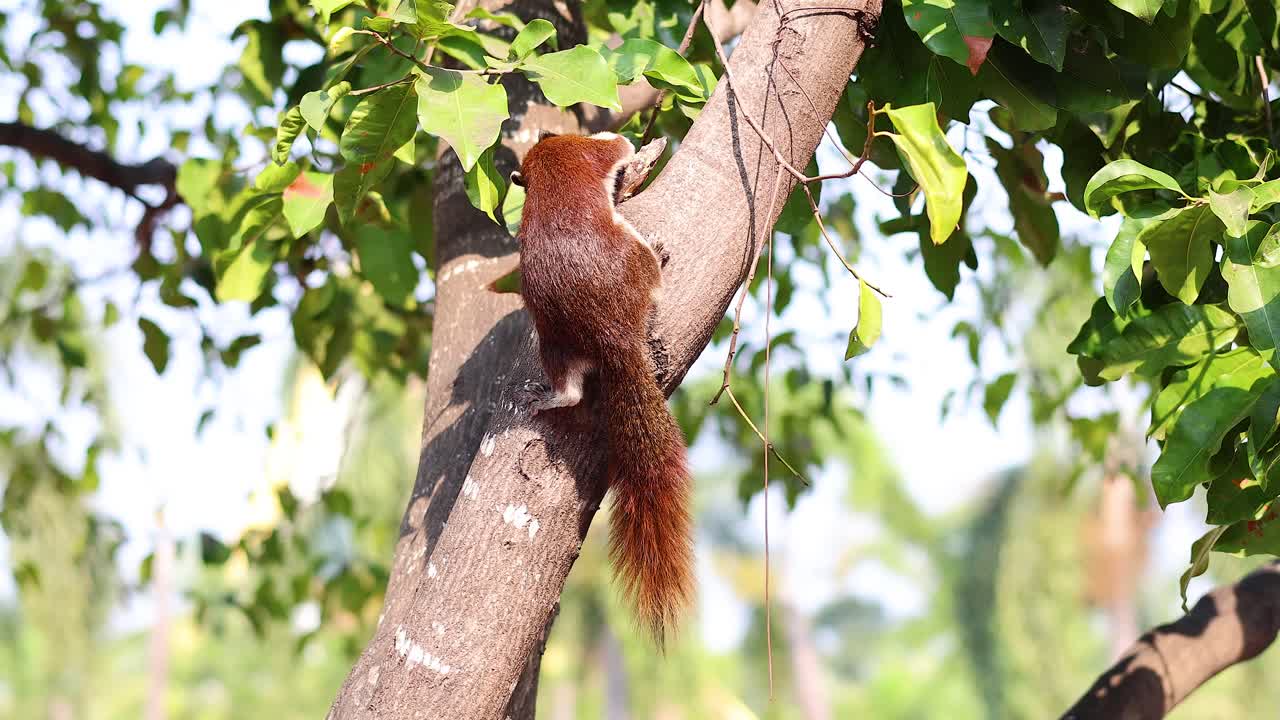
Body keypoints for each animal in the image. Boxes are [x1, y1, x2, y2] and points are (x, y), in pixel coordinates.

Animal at [510, 131, 693, 645]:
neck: (547, 158)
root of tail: (613, 333)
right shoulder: (586, 149)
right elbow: (615, 146)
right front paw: (632, 146)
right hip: (636, 263)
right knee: (651, 270)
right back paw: (661, 255)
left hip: (554, 341)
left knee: (569, 386)